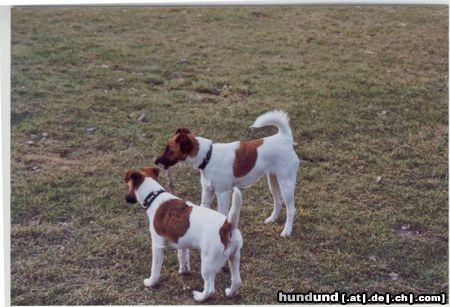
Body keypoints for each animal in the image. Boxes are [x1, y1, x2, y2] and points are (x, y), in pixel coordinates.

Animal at [123, 167, 243, 302]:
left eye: (128, 186)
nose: (125, 198)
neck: (154, 196)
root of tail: (227, 225)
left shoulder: (157, 245)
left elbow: (155, 268)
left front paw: (151, 282)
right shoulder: (182, 241)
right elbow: (183, 256)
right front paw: (184, 270)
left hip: (208, 263)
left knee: (210, 288)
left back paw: (199, 297)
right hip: (234, 256)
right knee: (237, 280)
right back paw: (230, 293)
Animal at [155, 110, 298, 238]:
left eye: (169, 150)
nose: (155, 161)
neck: (208, 157)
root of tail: (285, 138)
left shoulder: (222, 194)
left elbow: (222, 213)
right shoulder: (207, 192)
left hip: (286, 184)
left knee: (291, 209)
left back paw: (286, 231)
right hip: (273, 181)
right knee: (278, 202)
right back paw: (272, 219)